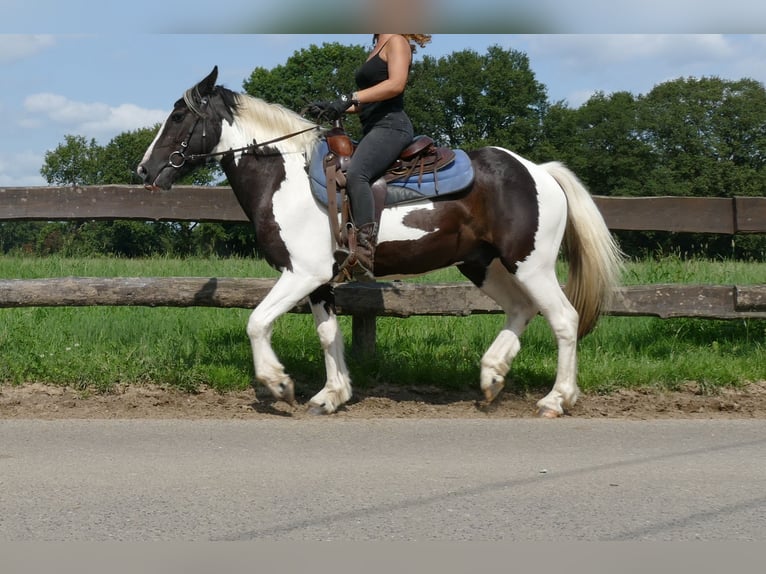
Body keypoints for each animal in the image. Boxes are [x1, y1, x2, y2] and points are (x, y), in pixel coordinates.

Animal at [138, 67, 628, 418]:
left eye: (179, 117)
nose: (144, 170)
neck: (286, 178)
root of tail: (539, 171)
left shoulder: (301, 273)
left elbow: (257, 322)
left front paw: (279, 383)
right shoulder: (319, 281)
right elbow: (328, 334)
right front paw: (331, 395)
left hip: (532, 263)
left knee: (563, 319)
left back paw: (556, 400)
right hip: (481, 263)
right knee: (521, 309)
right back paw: (492, 378)